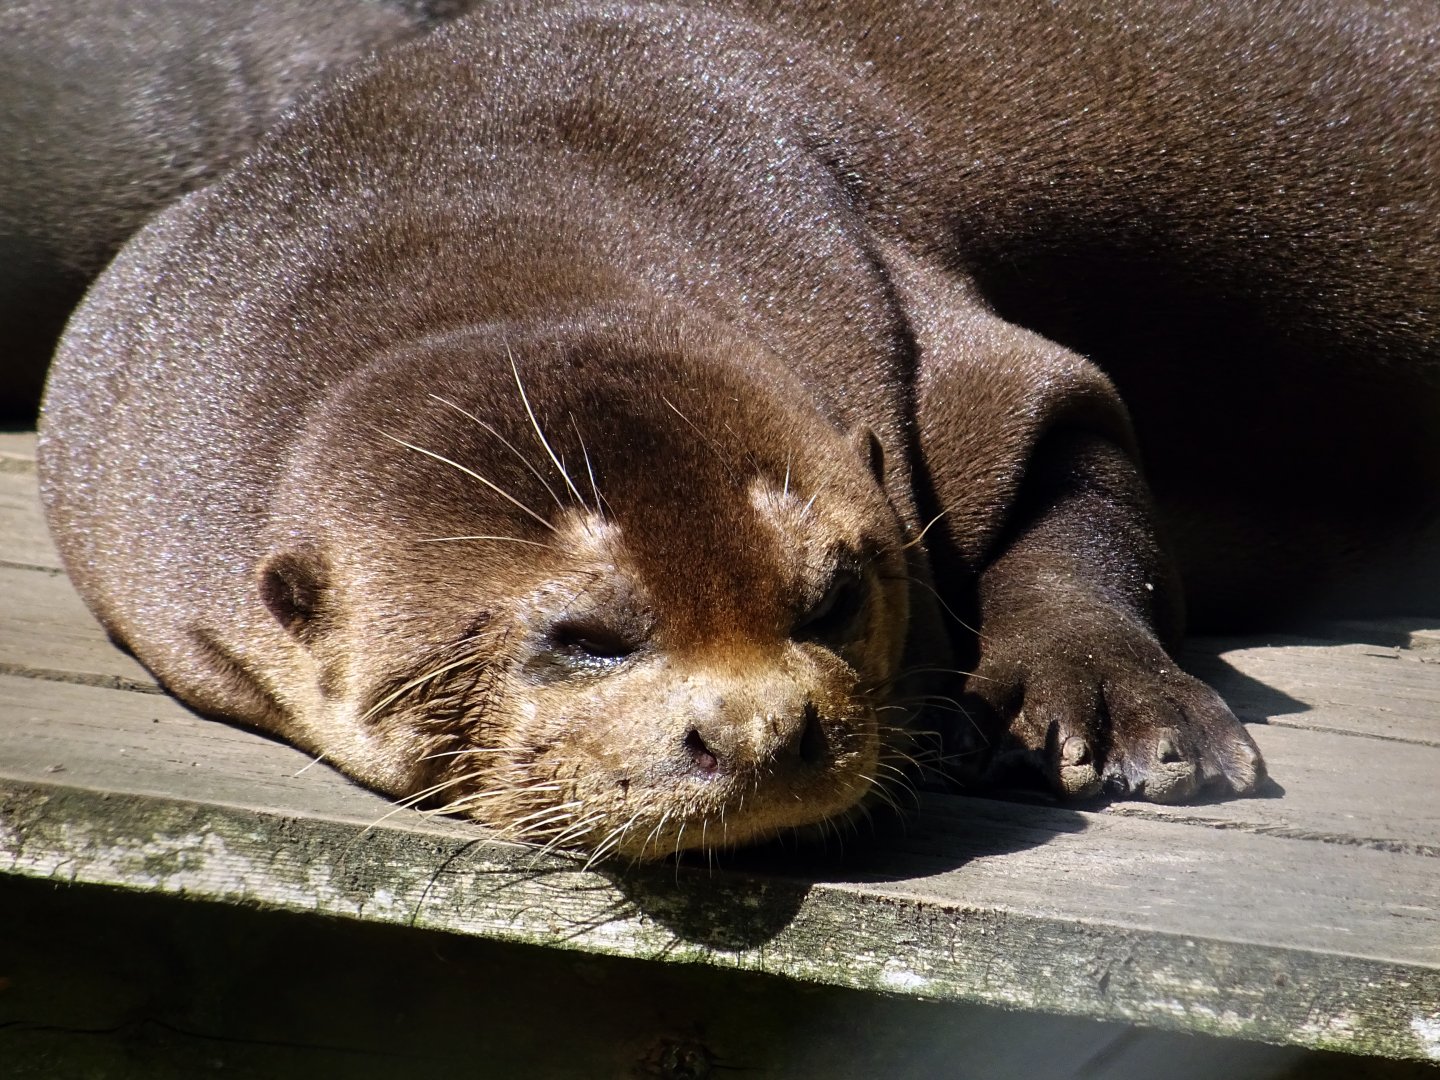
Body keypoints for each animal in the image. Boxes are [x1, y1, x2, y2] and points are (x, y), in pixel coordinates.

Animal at [37, 0, 1440, 859]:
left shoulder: (921, 324)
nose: (764, 731)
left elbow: (1065, 439)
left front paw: (1102, 704)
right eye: (584, 639)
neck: (475, 195)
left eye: (836, 595)